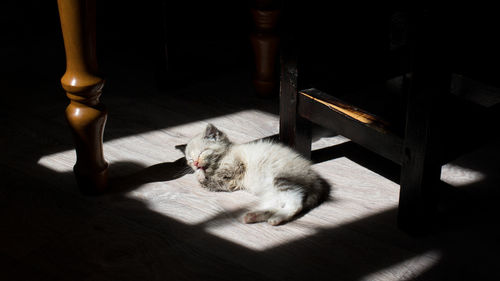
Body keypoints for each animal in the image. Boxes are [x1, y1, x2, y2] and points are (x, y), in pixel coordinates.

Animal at [182, 123, 330, 224]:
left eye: (202, 152)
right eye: (190, 159)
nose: (196, 163)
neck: (226, 154)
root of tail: (315, 180)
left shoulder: (235, 168)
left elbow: (212, 178)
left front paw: (201, 174)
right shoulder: (230, 183)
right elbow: (213, 182)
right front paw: (200, 172)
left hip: (282, 179)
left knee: (296, 203)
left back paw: (277, 218)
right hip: (270, 192)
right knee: (278, 204)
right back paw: (253, 216)